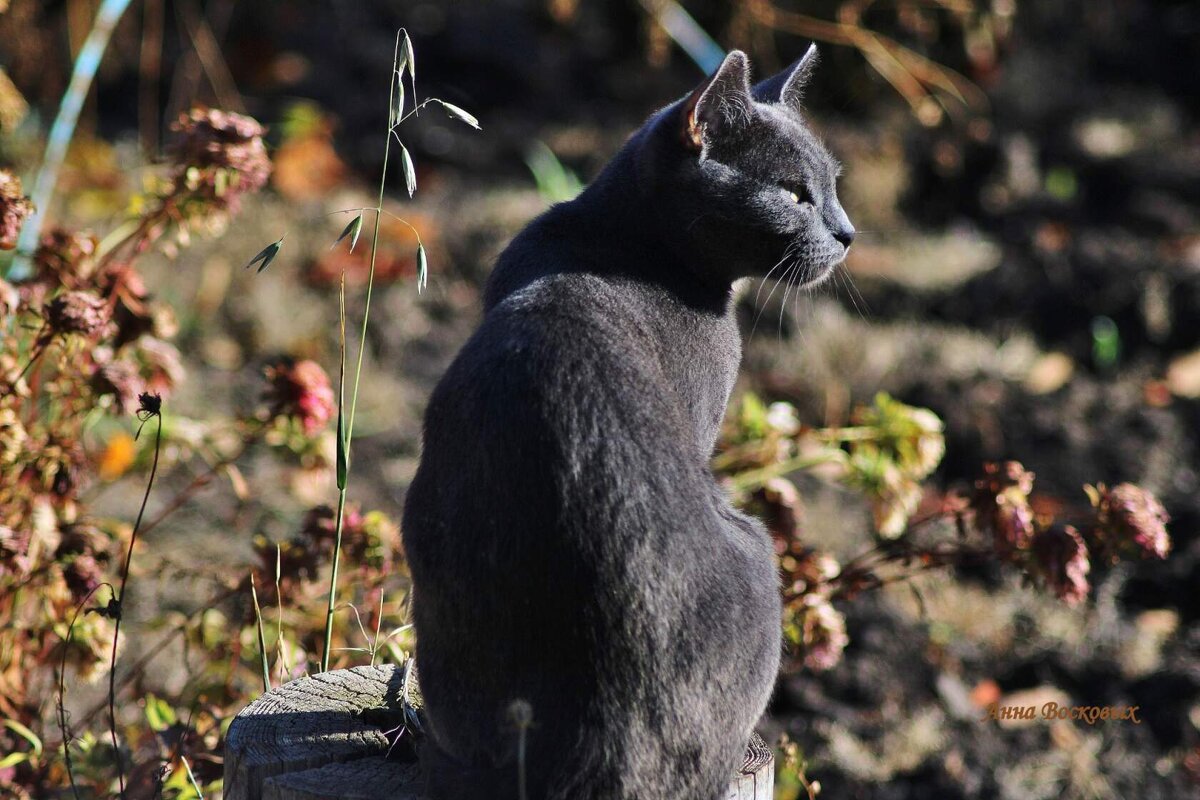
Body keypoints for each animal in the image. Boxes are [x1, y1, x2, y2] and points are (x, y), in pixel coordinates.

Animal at [403, 45, 854, 800]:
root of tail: (605, 740)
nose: (849, 233)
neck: (622, 241)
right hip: (759, 552)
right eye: (795, 193)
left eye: (834, 186)